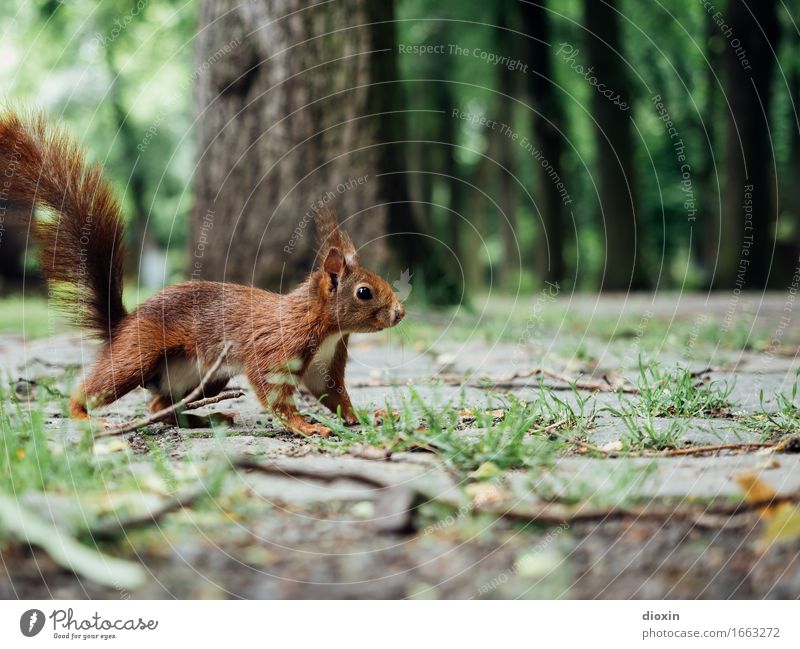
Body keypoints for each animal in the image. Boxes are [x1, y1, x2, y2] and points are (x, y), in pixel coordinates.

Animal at [0, 112, 400, 436]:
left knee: (159, 407)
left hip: (207, 377)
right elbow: (273, 392)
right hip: (139, 353)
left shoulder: (323, 363)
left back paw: (206, 419)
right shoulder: (277, 345)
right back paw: (87, 416)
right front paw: (305, 426)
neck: (328, 327)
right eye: (364, 292)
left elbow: (334, 395)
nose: (400, 313)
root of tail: (121, 326)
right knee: (101, 388)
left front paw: (366, 418)